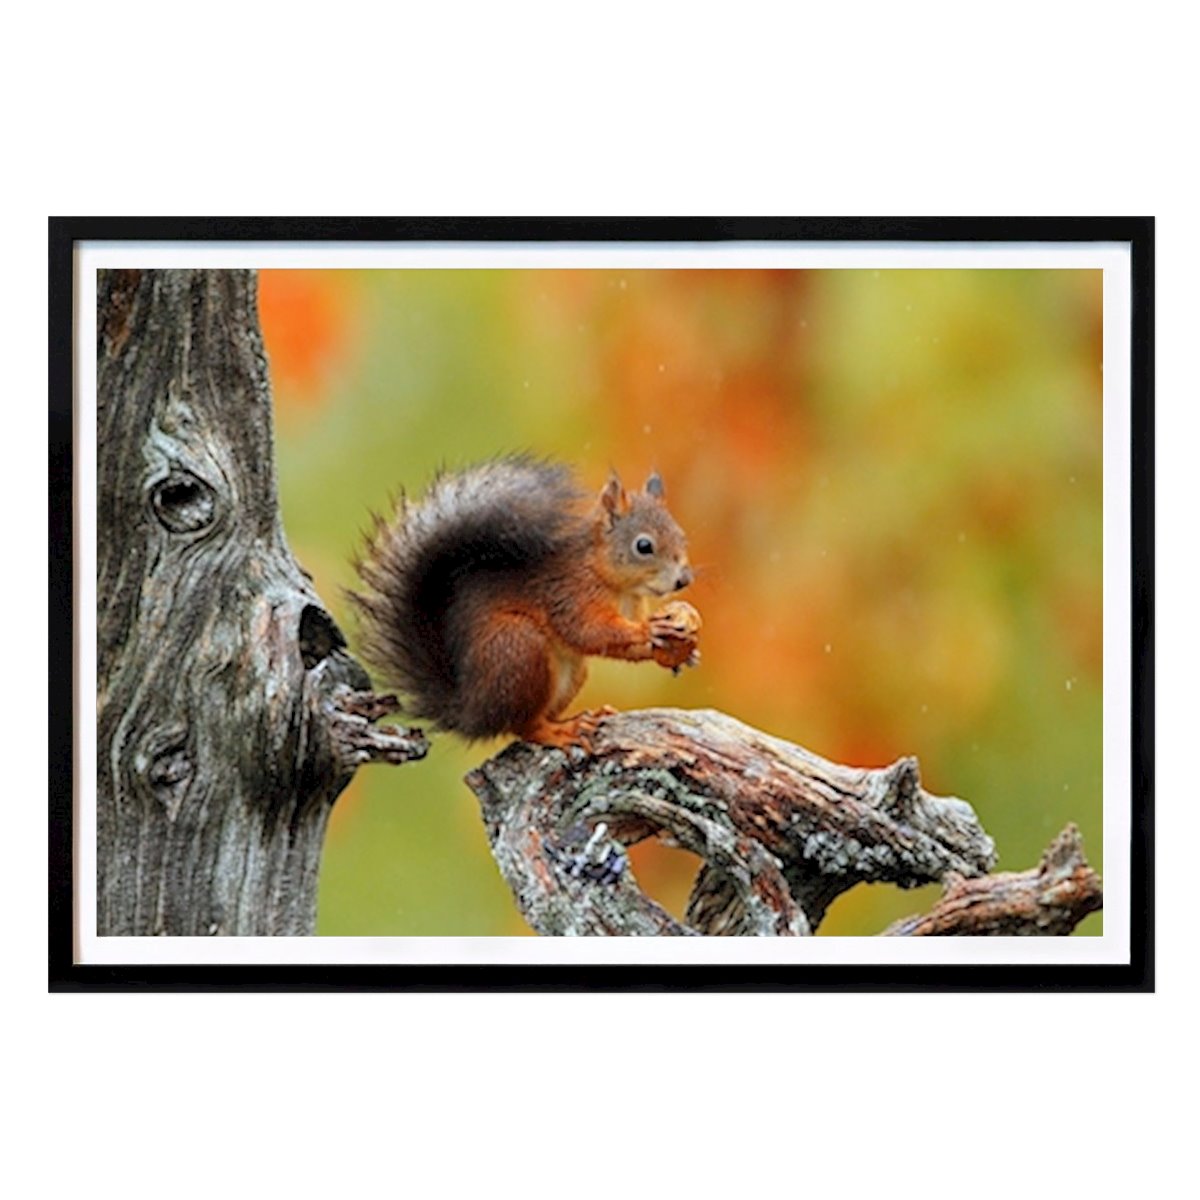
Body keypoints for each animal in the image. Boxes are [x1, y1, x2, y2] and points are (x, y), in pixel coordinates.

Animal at [351, 456, 701, 749]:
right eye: (644, 546)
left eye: (682, 536)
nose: (683, 580)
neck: (617, 584)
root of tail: (472, 710)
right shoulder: (569, 594)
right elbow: (589, 631)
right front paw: (648, 630)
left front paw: (678, 651)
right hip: (519, 650)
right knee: (524, 727)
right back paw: (561, 732)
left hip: (569, 672)